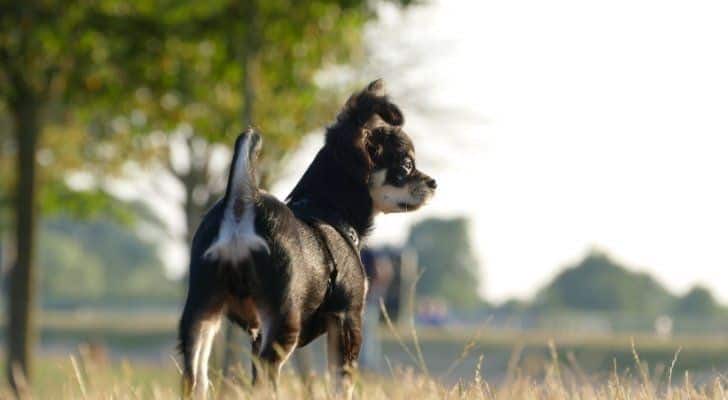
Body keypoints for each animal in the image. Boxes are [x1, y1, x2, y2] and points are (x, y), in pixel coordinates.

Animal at [178, 79, 436, 398]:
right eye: (405, 167)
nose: (433, 183)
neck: (328, 212)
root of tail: (242, 203)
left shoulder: (254, 332)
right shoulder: (347, 319)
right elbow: (341, 382)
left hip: (201, 314)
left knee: (196, 378)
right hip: (282, 323)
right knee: (266, 377)